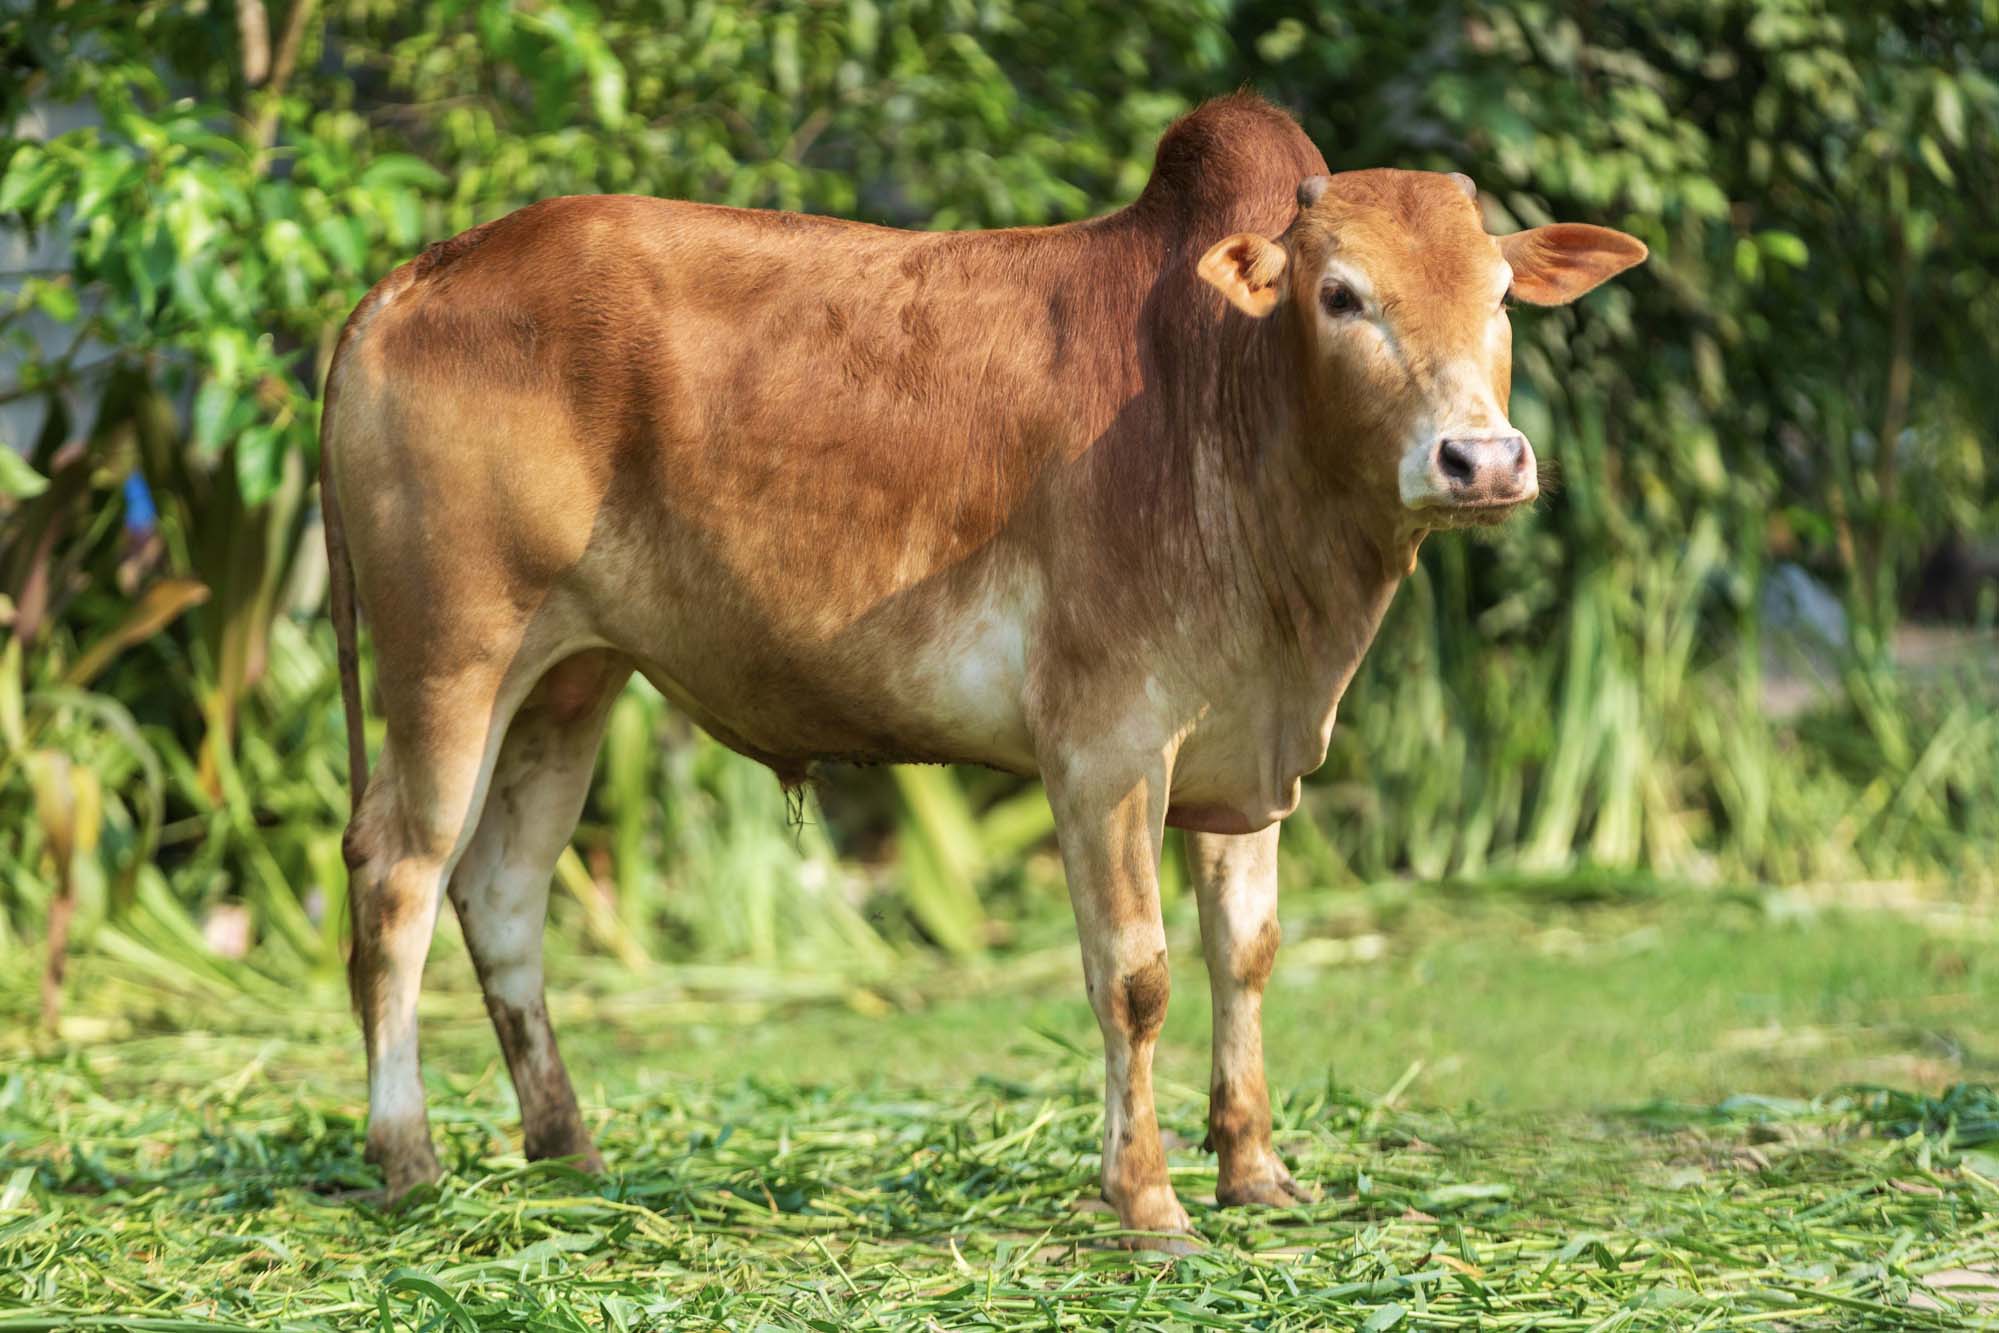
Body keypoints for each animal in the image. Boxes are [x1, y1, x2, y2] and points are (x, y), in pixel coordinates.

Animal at [321, 92, 1645, 1246]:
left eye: (1501, 295)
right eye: (1341, 294)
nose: (1480, 459)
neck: (1227, 403)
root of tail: (414, 275)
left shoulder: (1239, 756)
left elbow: (1247, 953)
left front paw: (1256, 1173)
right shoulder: (1105, 749)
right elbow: (1136, 974)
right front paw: (1145, 1203)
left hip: (572, 675)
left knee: (503, 889)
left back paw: (571, 1153)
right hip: (453, 653)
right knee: (400, 874)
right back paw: (410, 1159)